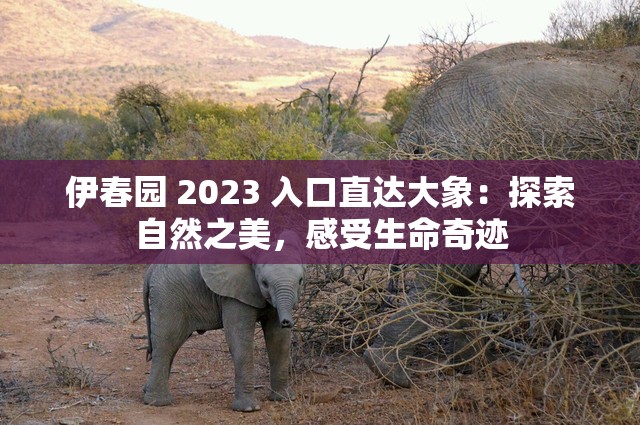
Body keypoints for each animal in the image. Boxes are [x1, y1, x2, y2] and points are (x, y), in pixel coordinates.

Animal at [142, 231, 305, 412]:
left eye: (300, 281)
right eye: (264, 283)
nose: (287, 321)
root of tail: (151, 269)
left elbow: (279, 340)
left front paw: (284, 399)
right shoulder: (234, 294)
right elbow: (239, 338)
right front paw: (249, 409)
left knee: (172, 344)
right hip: (168, 295)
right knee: (167, 342)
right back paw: (158, 402)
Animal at [364, 42, 640, 387]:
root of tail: (416, 121)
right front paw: (628, 361)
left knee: (461, 270)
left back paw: (469, 365)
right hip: (466, 164)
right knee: (452, 266)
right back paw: (392, 371)